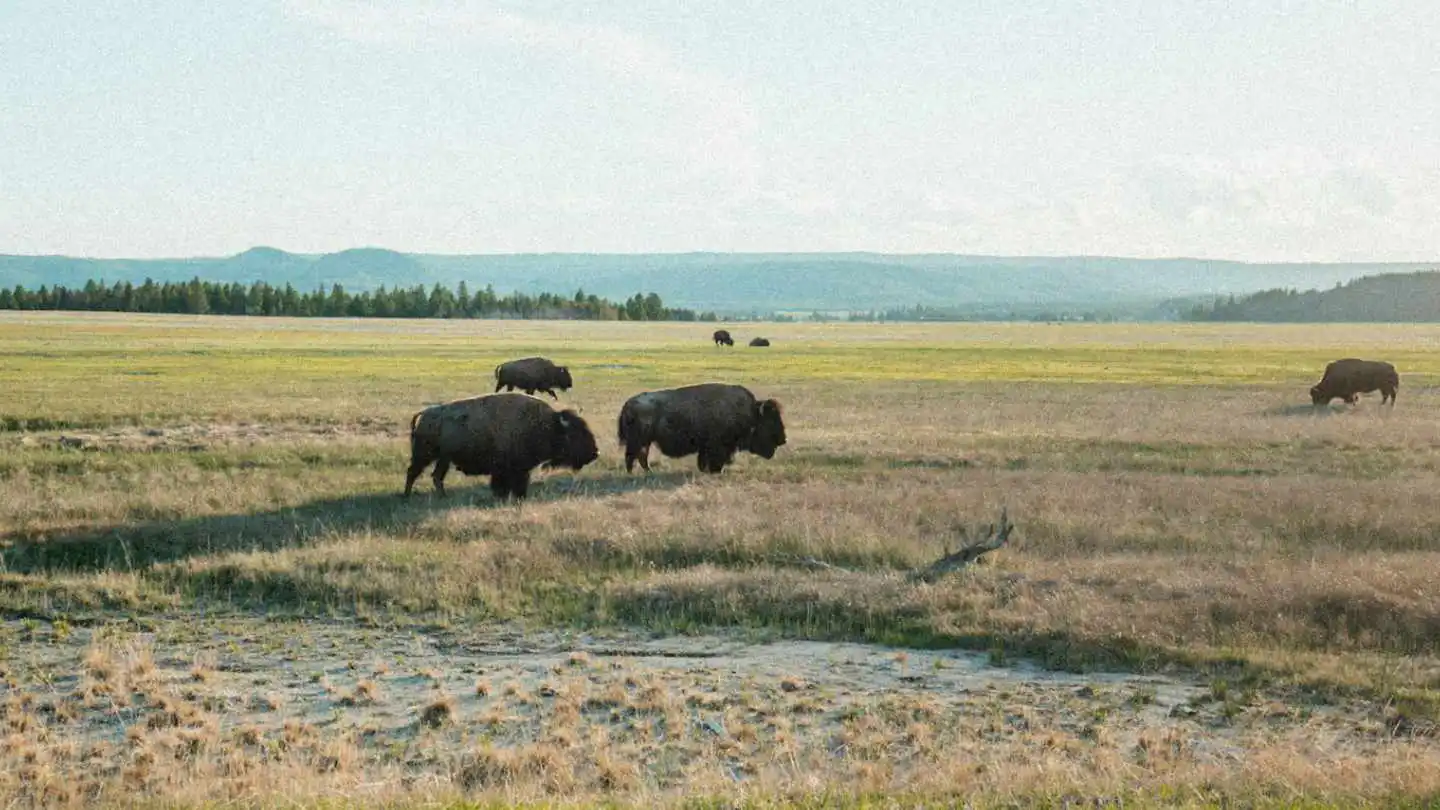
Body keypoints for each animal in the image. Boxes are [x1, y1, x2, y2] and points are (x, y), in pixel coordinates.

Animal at [404, 393, 599, 501]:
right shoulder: (513, 470)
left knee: (436, 476)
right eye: (575, 435)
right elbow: (509, 485)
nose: (595, 453)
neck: (548, 426)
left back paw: (442, 496)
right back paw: (407, 495)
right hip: (425, 455)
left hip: (443, 459)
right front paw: (513, 497)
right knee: (413, 472)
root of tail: (425, 414)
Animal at [617, 382, 787, 474]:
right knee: (633, 457)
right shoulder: (718, 447)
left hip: (644, 442)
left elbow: (703, 460)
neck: (751, 413)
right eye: (771, 421)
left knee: (640, 457)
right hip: (638, 442)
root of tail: (627, 405)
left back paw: (647, 472)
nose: (783, 439)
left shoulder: (705, 448)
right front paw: (716, 471)